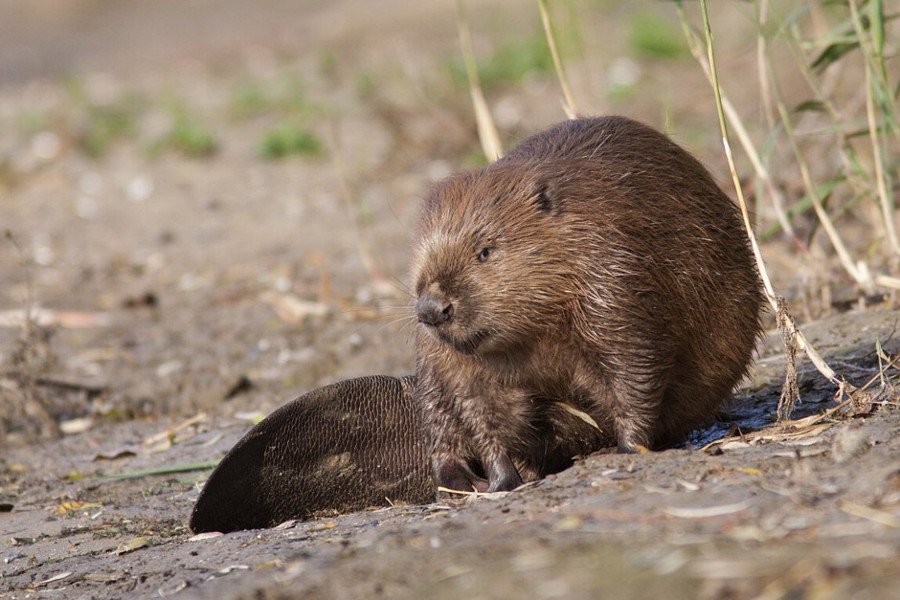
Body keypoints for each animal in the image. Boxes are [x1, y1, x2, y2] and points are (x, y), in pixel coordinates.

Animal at [412, 116, 764, 492]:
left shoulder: (610, 282)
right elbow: (480, 409)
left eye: (485, 251)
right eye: (418, 256)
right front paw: (499, 480)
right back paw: (463, 479)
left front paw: (625, 448)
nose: (431, 310)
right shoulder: (459, 364)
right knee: (439, 421)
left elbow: (635, 369)